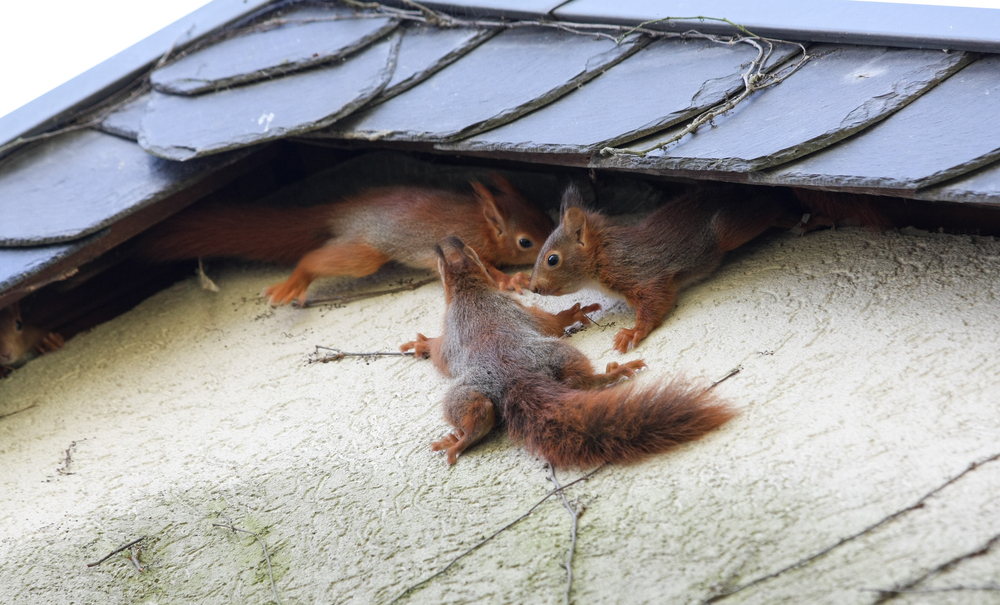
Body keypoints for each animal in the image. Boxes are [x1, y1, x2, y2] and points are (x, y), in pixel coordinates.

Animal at [136, 175, 554, 305]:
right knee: (313, 259)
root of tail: (342, 211)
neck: (481, 225)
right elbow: (489, 271)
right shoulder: (464, 246)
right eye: (525, 242)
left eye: (547, 216)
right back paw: (294, 282)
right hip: (364, 252)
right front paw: (511, 279)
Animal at [400, 236, 734, 468]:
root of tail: (516, 379)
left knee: (483, 412)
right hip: (552, 357)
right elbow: (550, 323)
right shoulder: (508, 315)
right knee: (575, 382)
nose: (449, 241)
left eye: (464, 249)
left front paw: (421, 344)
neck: (469, 291)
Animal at [529, 183, 796, 353]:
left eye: (552, 260)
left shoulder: (639, 272)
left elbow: (655, 299)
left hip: (727, 232)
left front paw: (634, 332)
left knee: (769, 206)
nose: (532, 288)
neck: (603, 256)